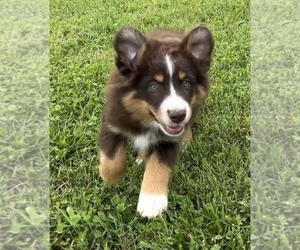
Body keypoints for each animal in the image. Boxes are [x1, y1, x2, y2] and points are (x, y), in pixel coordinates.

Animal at [98, 24, 213, 217]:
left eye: (187, 83)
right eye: (153, 86)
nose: (178, 115)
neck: (147, 120)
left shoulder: (170, 140)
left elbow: (159, 165)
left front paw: (151, 200)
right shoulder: (111, 122)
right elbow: (112, 159)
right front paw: (113, 178)